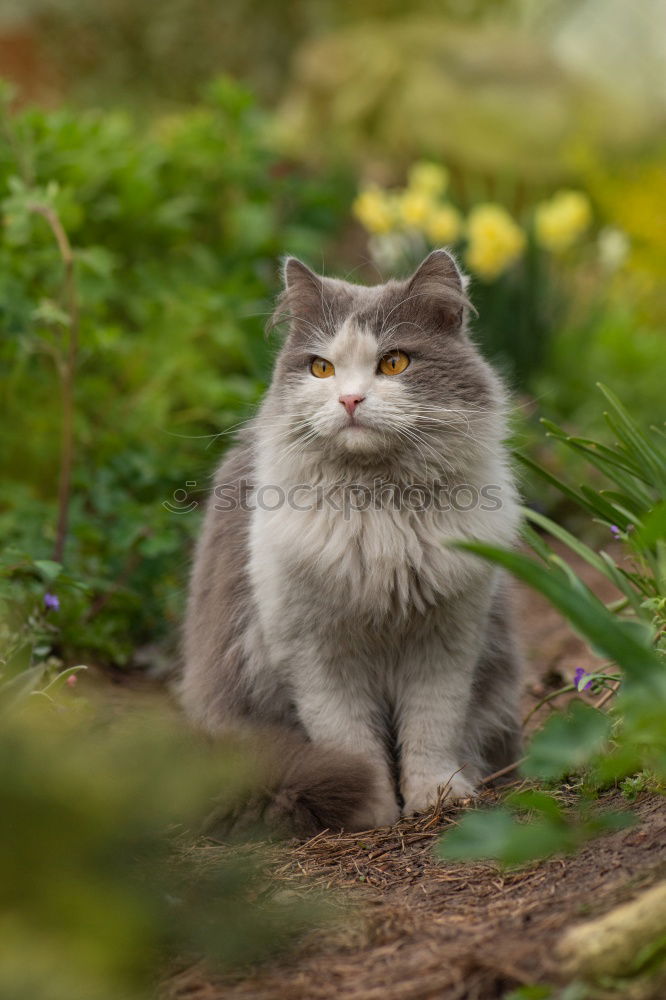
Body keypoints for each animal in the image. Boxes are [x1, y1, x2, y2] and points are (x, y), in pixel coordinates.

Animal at [179, 250, 520, 836]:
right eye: (321, 368)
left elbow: (432, 729)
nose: (350, 399)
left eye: (394, 363)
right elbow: (351, 745)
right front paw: (372, 812)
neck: (380, 513)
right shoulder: (315, 652)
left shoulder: (449, 638)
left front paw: (437, 797)